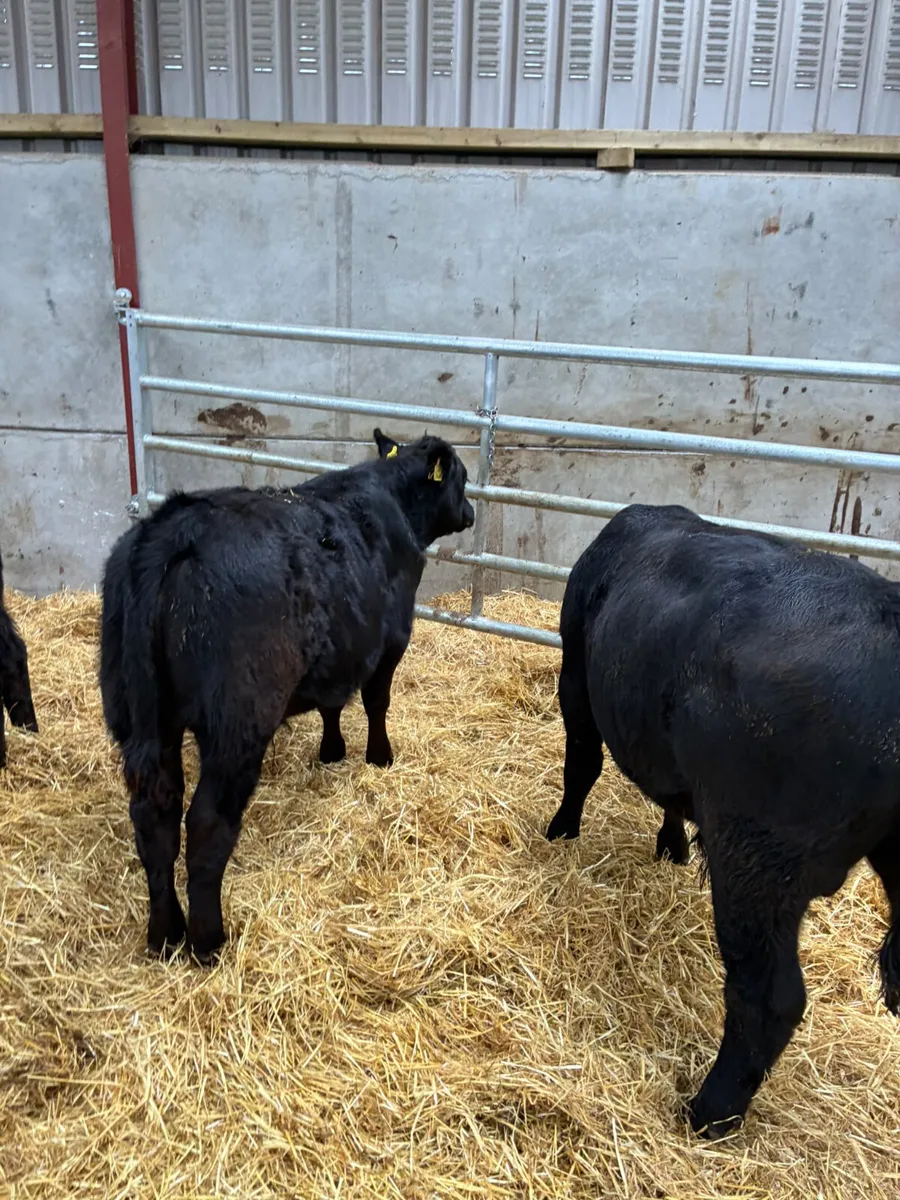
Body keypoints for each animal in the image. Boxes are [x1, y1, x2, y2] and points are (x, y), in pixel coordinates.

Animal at [100, 429, 474, 964]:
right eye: (461, 477)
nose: (471, 512)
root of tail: (172, 531)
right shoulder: (391, 640)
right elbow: (375, 702)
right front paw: (379, 757)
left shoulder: (341, 647)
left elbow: (332, 702)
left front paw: (332, 752)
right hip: (237, 724)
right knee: (207, 823)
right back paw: (208, 940)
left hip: (137, 713)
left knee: (155, 819)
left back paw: (165, 933)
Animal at [546, 503, 900, 1138]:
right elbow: (669, 798)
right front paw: (672, 848)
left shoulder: (576, 675)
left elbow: (580, 763)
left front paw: (561, 830)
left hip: (759, 860)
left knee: (770, 997)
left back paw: (709, 1110)